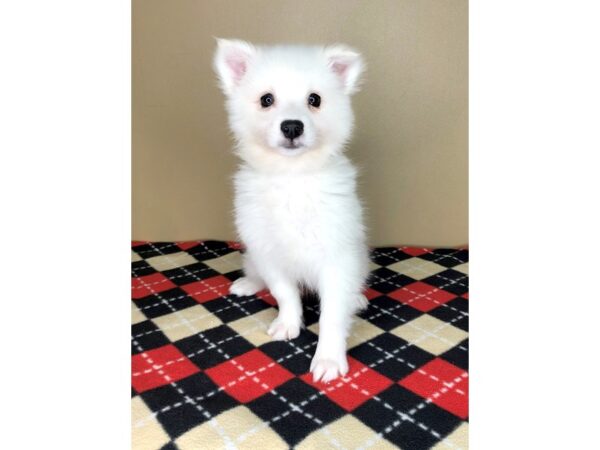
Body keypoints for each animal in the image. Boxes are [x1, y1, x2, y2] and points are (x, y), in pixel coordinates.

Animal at [213, 39, 368, 384]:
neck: (291, 177)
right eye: (266, 100)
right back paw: (247, 283)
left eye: (315, 100)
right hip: (253, 255)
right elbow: (284, 293)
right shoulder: (267, 251)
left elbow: (332, 315)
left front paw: (328, 359)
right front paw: (288, 323)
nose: (292, 126)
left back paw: (357, 297)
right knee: (255, 272)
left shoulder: (336, 256)